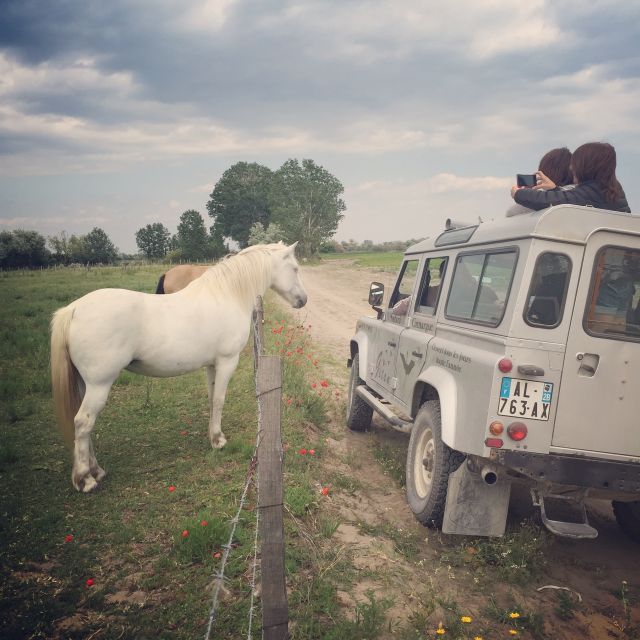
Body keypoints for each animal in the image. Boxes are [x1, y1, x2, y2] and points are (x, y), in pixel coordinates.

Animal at [51, 242, 307, 492]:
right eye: (294, 268)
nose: (303, 300)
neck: (227, 295)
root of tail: (72, 310)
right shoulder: (227, 361)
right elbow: (219, 400)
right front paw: (218, 440)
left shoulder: (211, 365)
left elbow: (212, 397)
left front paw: (211, 436)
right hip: (99, 385)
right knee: (83, 422)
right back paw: (85, 479)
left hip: (85, 385)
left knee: (85, 427)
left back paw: (96, 470)